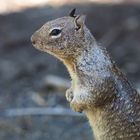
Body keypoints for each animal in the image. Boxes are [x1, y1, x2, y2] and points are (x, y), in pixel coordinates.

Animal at [31, 9, 140, 140]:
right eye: (46, 22)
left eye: (55, 31)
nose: (32, 39)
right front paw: (69, 94)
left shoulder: (97, 81)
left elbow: (91, 96)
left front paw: (75, 105)